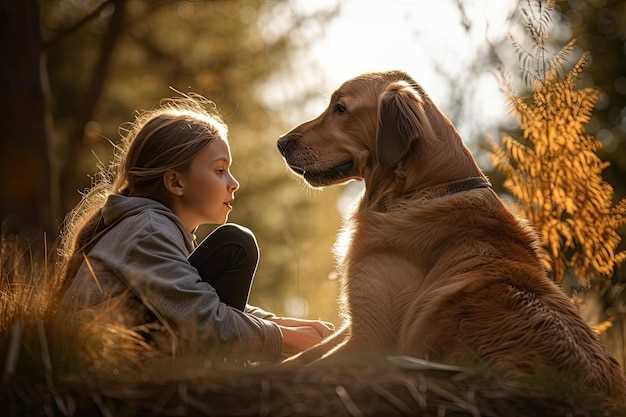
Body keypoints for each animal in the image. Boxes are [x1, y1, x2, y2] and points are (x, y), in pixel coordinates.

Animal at [276, 70, 624, 396]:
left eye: (340, 108)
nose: (281, 143)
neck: (421, 189)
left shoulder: (370, 340)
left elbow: (300, 367)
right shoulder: (353, 323)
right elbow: (297, 357)